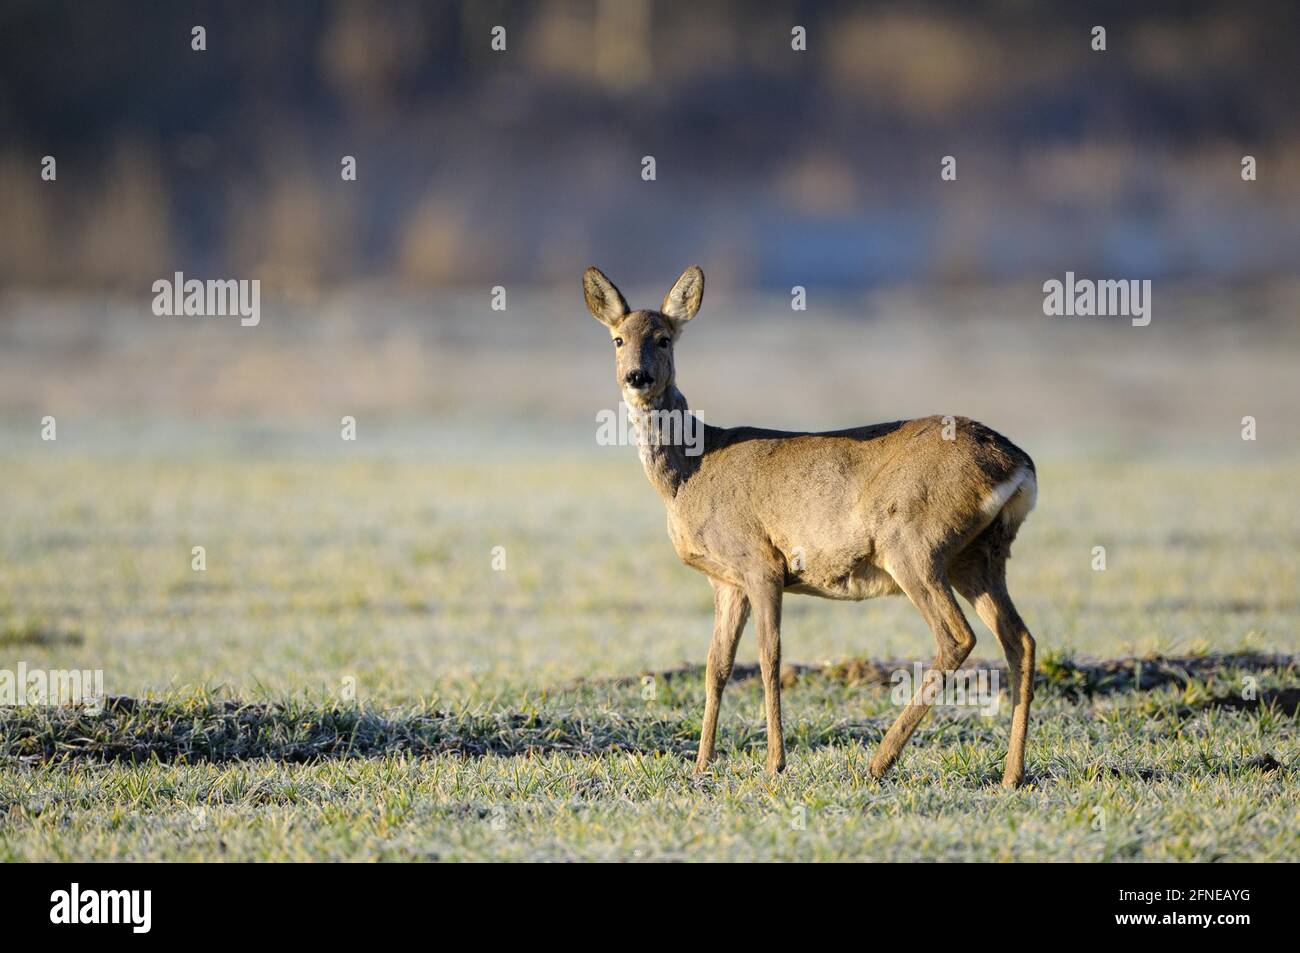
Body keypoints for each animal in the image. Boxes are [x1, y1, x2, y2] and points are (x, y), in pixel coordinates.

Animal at [585, 263, 1040, 785]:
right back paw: (1011, 774)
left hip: (914, 543)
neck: (690, 471)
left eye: (663, 338)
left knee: (958, 636)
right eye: (618, 339)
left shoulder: (760, 562)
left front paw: (774, 763)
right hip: (980, 555)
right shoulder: (726, 580)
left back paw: (879, 761)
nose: (637, 377)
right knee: (1020, 640)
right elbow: (716, 665)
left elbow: (769, 657)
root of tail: (1017, 464)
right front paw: (701, 764)